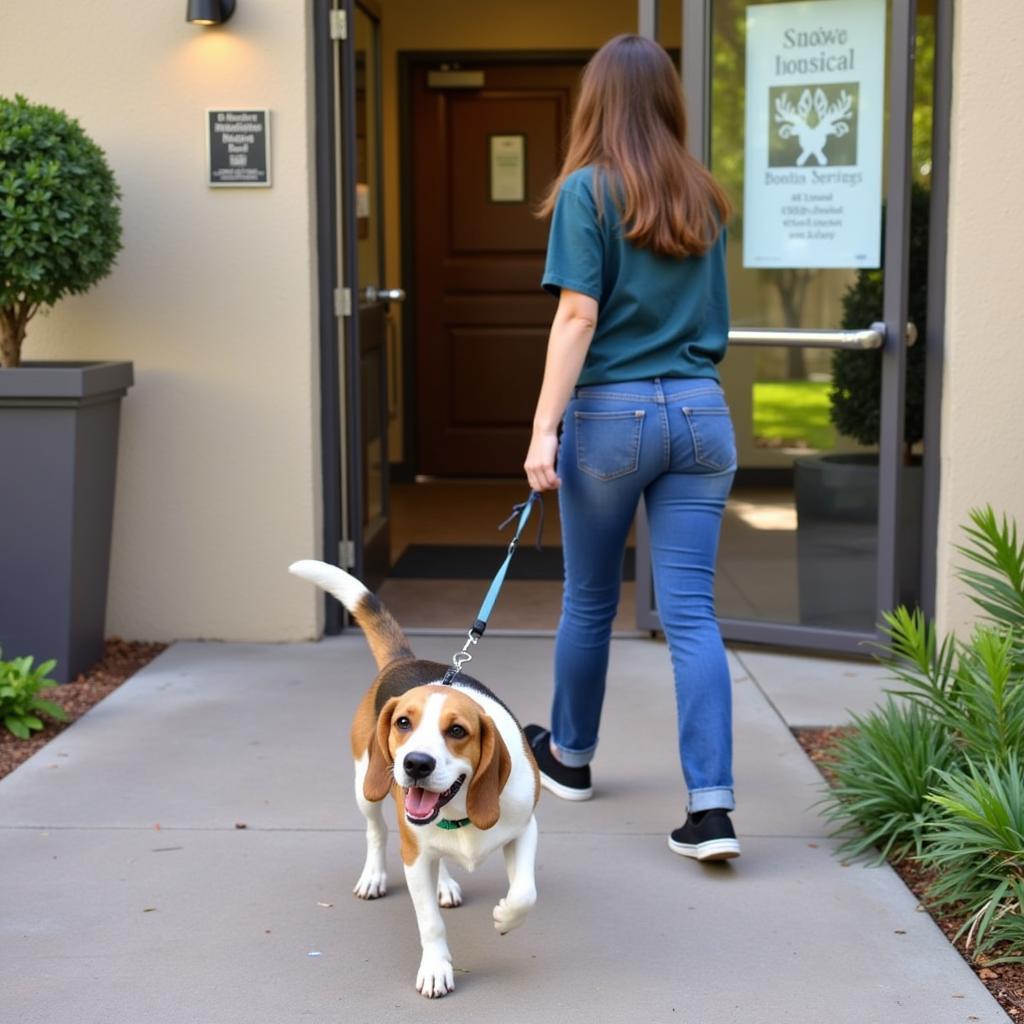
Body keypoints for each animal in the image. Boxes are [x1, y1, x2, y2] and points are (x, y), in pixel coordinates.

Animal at [288, 561, 544, 999]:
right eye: (403, 723)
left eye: (457, 731)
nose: (416, 764)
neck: (459, 811)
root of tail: (403, 661)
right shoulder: (414, 857)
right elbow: (430, 922)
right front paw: (437, 969)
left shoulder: (525, 827)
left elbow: (525, 892)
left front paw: (506, 917)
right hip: (365, 787)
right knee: (376, 832)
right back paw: (374, 876)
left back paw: (446, 884)